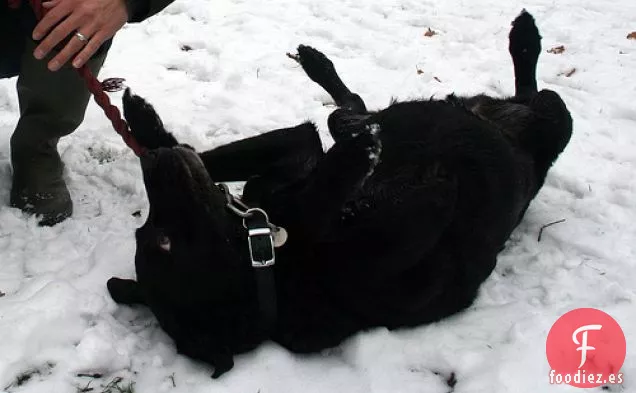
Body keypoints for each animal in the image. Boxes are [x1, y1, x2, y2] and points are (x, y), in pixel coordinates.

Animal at [108, 10, 572, 376]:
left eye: (149, 234)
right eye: (162, 241)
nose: (155, 164)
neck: (273, 263)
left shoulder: (293, 154)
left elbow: (211, 155)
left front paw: (144, 124)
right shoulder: (407, 224)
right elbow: (321, 203)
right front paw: (358, 155)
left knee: (352, 107)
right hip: (555, 118)